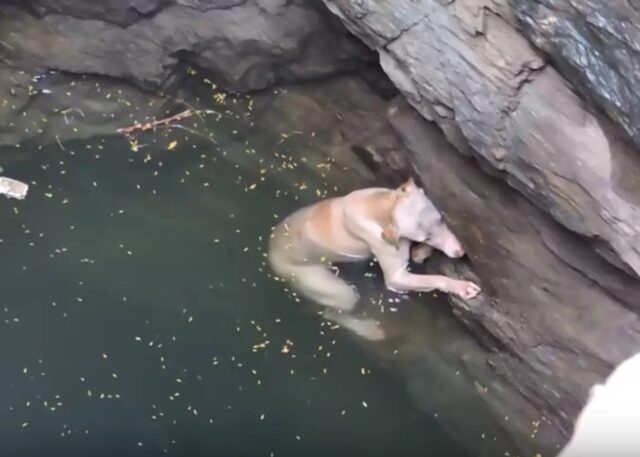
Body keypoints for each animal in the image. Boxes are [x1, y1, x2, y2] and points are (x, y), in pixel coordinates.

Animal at [268, 177, 482, 338]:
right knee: (333, 311)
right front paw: (460, 286)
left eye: (441, 219)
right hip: (320, 282)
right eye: (426, 236)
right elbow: (423, 278)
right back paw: (369, 330)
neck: (381, 207)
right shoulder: (393, 267)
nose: (460, 251)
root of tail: (270, 254)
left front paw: (420, 252)